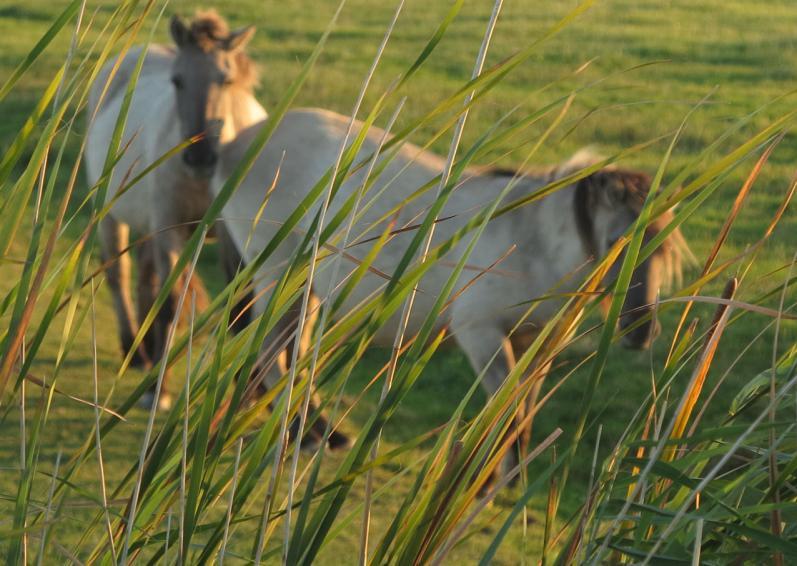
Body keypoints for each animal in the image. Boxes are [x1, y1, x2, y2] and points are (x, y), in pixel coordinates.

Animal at [84, 10, 266, 408]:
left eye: (226, 79)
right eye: (177, 80)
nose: (199, 157)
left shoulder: (231, 237)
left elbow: (241, 309)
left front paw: (247, 393)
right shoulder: (170, 229)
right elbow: (168, 303)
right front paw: (159, 391)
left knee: (145, 277)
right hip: (112, 214)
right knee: (118, 273)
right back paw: (135, 351)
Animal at [213, 107, 684, 480]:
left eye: (664, 248)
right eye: (617, 243)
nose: (641, 331)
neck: (530, 242)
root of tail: (240, 142)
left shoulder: (537, 342)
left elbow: (523, 406)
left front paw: (506, 475)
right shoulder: (480, 333)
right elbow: (504, 406)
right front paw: (491, 481)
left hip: (306, 287)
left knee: (294, 350)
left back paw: (324, 434)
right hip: (278, 274)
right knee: (272, 352)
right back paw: (305, 436)